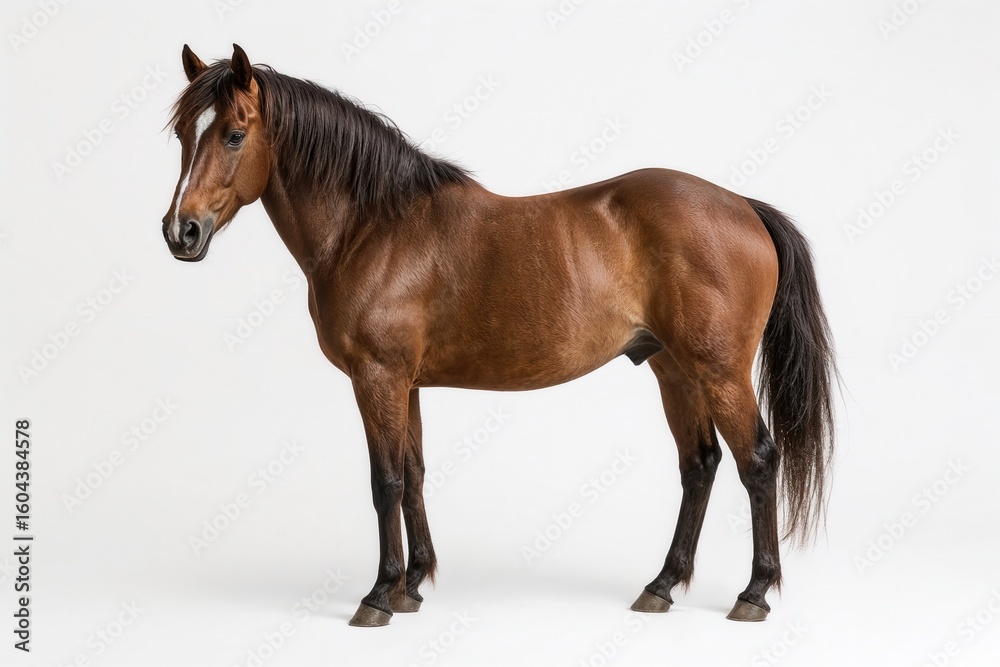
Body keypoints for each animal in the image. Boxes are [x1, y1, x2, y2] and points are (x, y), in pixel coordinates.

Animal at [162, 44, 836, 627]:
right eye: (183, 134)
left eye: (234, 133)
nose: (180, 232)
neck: (373, 227)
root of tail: (742, 206)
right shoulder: (405, 383)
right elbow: (414, 473)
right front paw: (413, 585)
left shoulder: (377, 378)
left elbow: (385, 482)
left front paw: (378, 595)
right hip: (674, 369)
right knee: (699, 465)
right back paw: (661, 586)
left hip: (719, 372)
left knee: (757, 462)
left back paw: (753, 593)